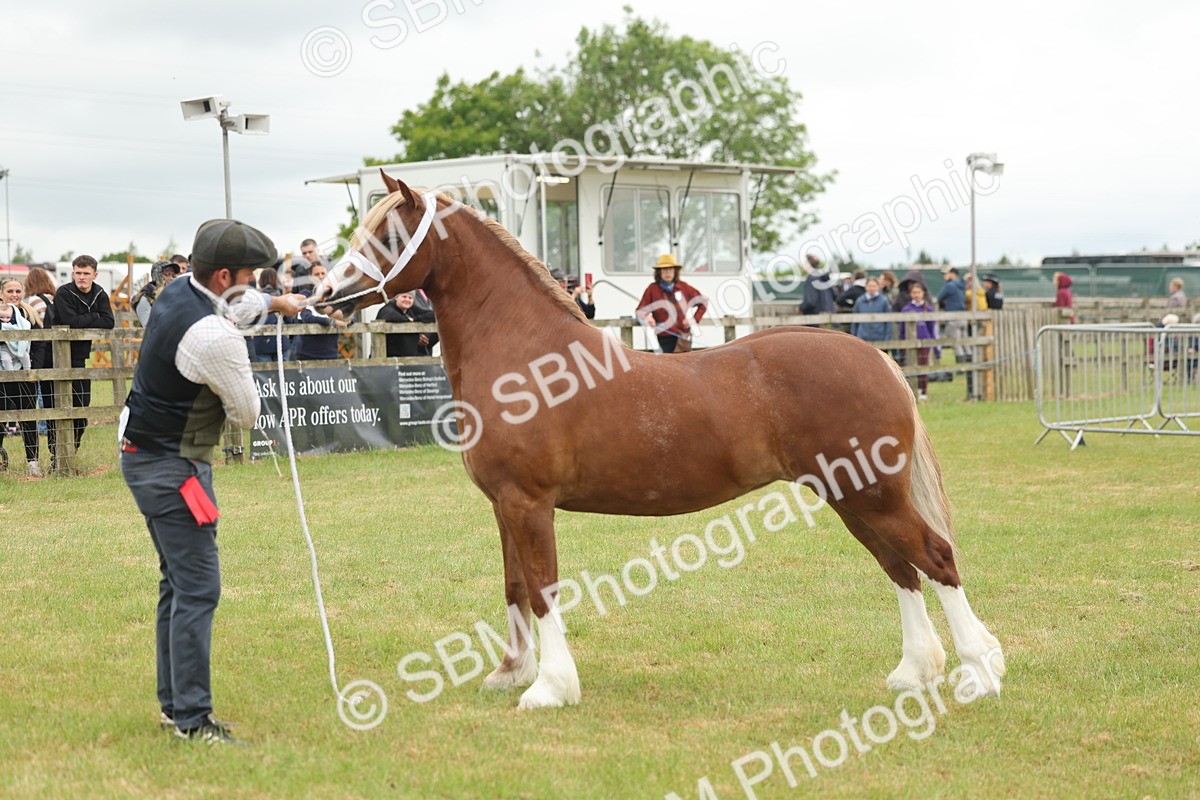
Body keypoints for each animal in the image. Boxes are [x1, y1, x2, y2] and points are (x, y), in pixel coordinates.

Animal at [317, 173, 1006, 709]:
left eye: (388, 235)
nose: (326, 296)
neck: (527, 356)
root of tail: (874, 357)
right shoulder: (504, 505)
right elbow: (514, 587)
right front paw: (510, 672)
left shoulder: (528, 503)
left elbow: (542, 588)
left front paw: (550, 688)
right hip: (852, 496)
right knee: (901, 569)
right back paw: (913, 673)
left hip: (873, 494)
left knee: (935, 557)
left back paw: (978, 674)